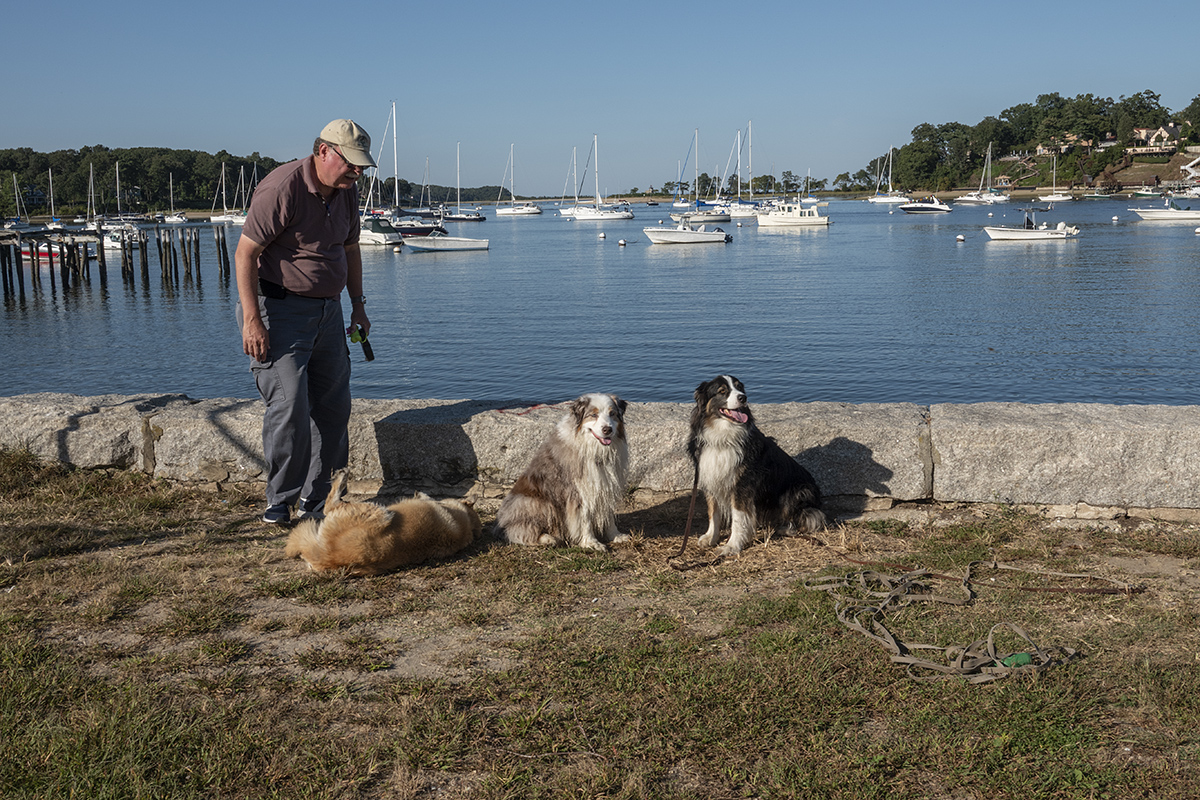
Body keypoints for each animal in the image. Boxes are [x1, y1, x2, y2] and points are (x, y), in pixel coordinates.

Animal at [285, 470, 482, 575]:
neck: (466, 524)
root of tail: (328, 555)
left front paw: (420, 494)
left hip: (375, 511)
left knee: (329, 505)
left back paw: (342, 476)